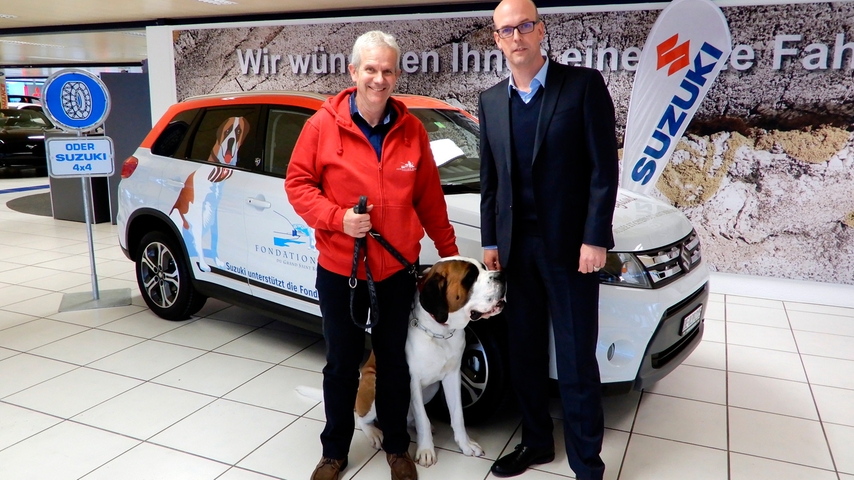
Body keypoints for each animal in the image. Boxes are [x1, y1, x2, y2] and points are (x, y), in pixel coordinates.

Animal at [170, 116, 249, 272]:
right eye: (227, 130)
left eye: (238, 131)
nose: (231, 141)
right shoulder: (199, 210)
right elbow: (200, 240)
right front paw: (204, 264)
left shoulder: (215, 211)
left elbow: (214, 240)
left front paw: (217, 261)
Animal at [355, 256, 506, 467]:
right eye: (470, 278)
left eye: (484, 267)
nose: (502, 275)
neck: (439, 331)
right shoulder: (412, 381)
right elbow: (422, 419)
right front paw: (426, 450)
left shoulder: (453, 376)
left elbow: (457, 415)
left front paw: (465, 444)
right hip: (373, 384)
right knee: (359, 416)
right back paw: (374, 433)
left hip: (433, 388)